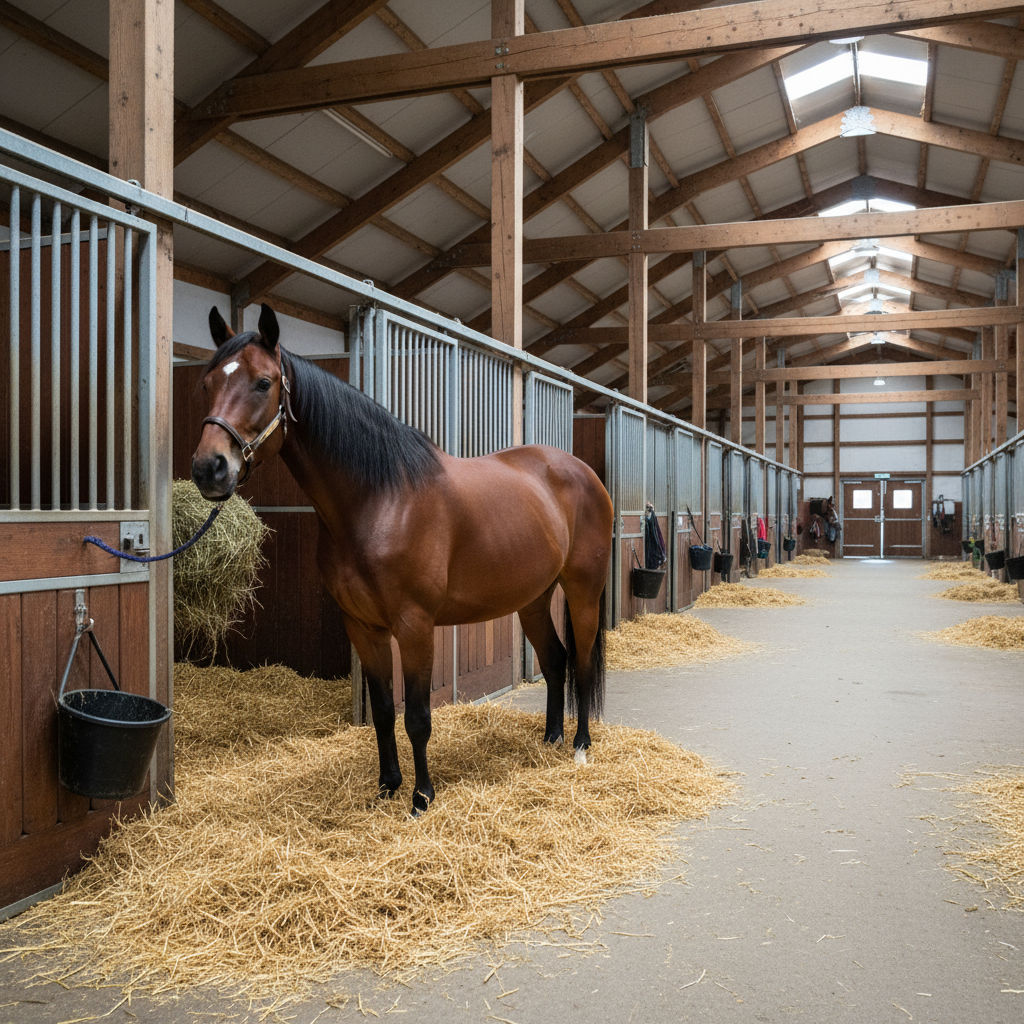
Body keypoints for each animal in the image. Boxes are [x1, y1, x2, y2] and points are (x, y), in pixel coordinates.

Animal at [190, 304, 614, 815]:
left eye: (263, 383)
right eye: (208, 382)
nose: (209, 469)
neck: (382, 500)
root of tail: (583, 472)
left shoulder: (415, 626)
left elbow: (417, 716)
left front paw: (421, 797)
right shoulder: (362, 626)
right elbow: (383, 711)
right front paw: (386, 787)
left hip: (583, 590)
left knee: (582, 663)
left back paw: (580, 746)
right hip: (532, 599)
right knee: (554, 660)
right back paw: (551, 739)